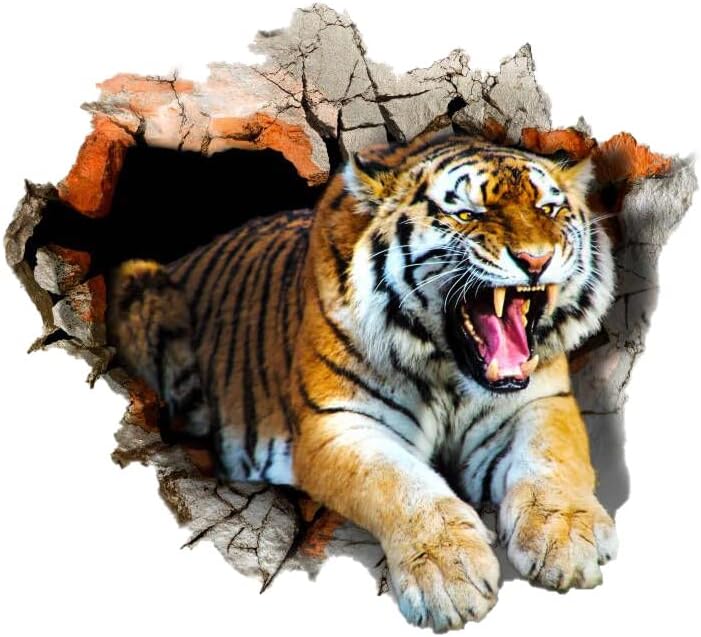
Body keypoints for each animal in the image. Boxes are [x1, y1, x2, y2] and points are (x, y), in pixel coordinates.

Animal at [108, 131, 618, 631]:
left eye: (548, 209)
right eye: (467, 214)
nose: (536, 260)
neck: (449, 371)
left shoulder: (540, 401)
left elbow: (552, 458)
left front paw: (567, 538)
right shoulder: (339, 424)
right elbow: (401, 484)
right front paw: (448, 575)